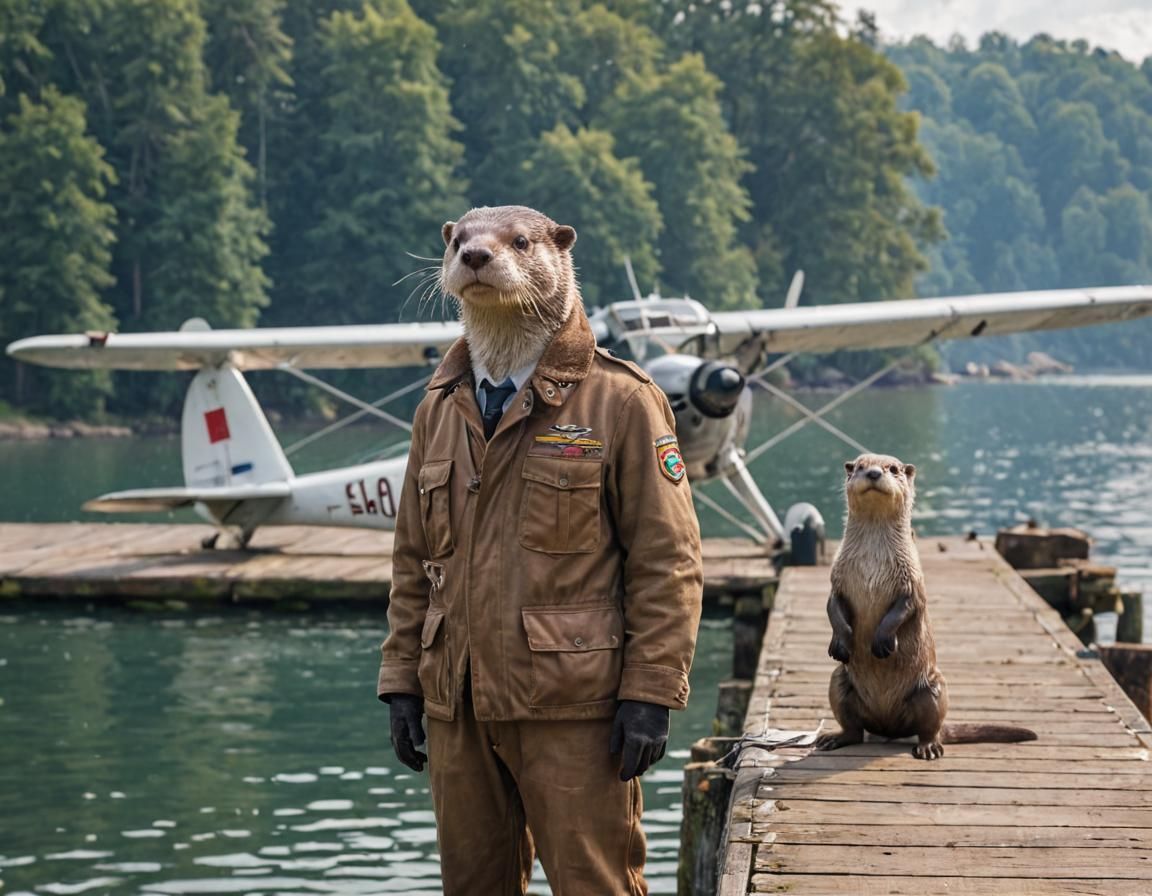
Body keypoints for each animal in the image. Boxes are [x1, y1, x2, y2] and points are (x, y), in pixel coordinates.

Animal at [815, 453, 1036, 760]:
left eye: (892, 469)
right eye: (859, 466)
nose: (873, 473)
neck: (872, 563)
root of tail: (887, 727)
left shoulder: (912, 582)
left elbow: (906, 608)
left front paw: (882, 641)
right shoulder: (837, 579)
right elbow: (833, 607)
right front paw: (840, 643)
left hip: (932, 688)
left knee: (930, 727)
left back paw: (929, 747)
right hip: (839, 681)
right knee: (854, 729)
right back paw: (834, 738)